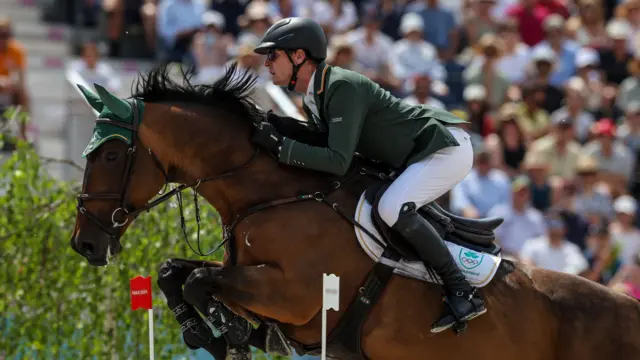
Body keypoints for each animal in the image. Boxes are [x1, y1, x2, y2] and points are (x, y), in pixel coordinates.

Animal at [69, 63, 640, 358]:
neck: (269, 194)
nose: (85, 244)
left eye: (112, 155)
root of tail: (627, 308)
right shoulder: (250, 277)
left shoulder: (296, 295)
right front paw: (210, 331)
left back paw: (462, 304)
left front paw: (223, 330)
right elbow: (175, 272)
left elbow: (196, 281)